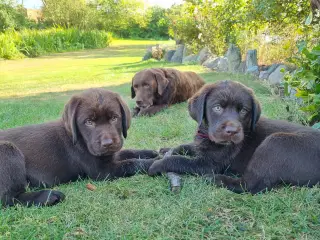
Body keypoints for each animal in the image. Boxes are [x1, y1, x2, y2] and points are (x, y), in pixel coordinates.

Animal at [0, 89, 158, 207]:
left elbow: (129, 152)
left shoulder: (109, 155)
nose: (107, 143)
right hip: (7, 150)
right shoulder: (102, 171)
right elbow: (131, 163)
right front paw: (155, 162)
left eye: (114, 118)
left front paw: (151, 152)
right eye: (88, 122)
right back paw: (48, 196)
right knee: (8, 198)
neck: (79, 139)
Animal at [149, 80, 320, 193]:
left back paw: (216, 179)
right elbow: (187, 146)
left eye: (244, 110)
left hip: (276, 142)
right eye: (217, 108)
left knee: (250, 185)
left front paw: (158, 164)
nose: (232, 131)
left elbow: (179, 160)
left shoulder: (209, 164)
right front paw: (166, 149)